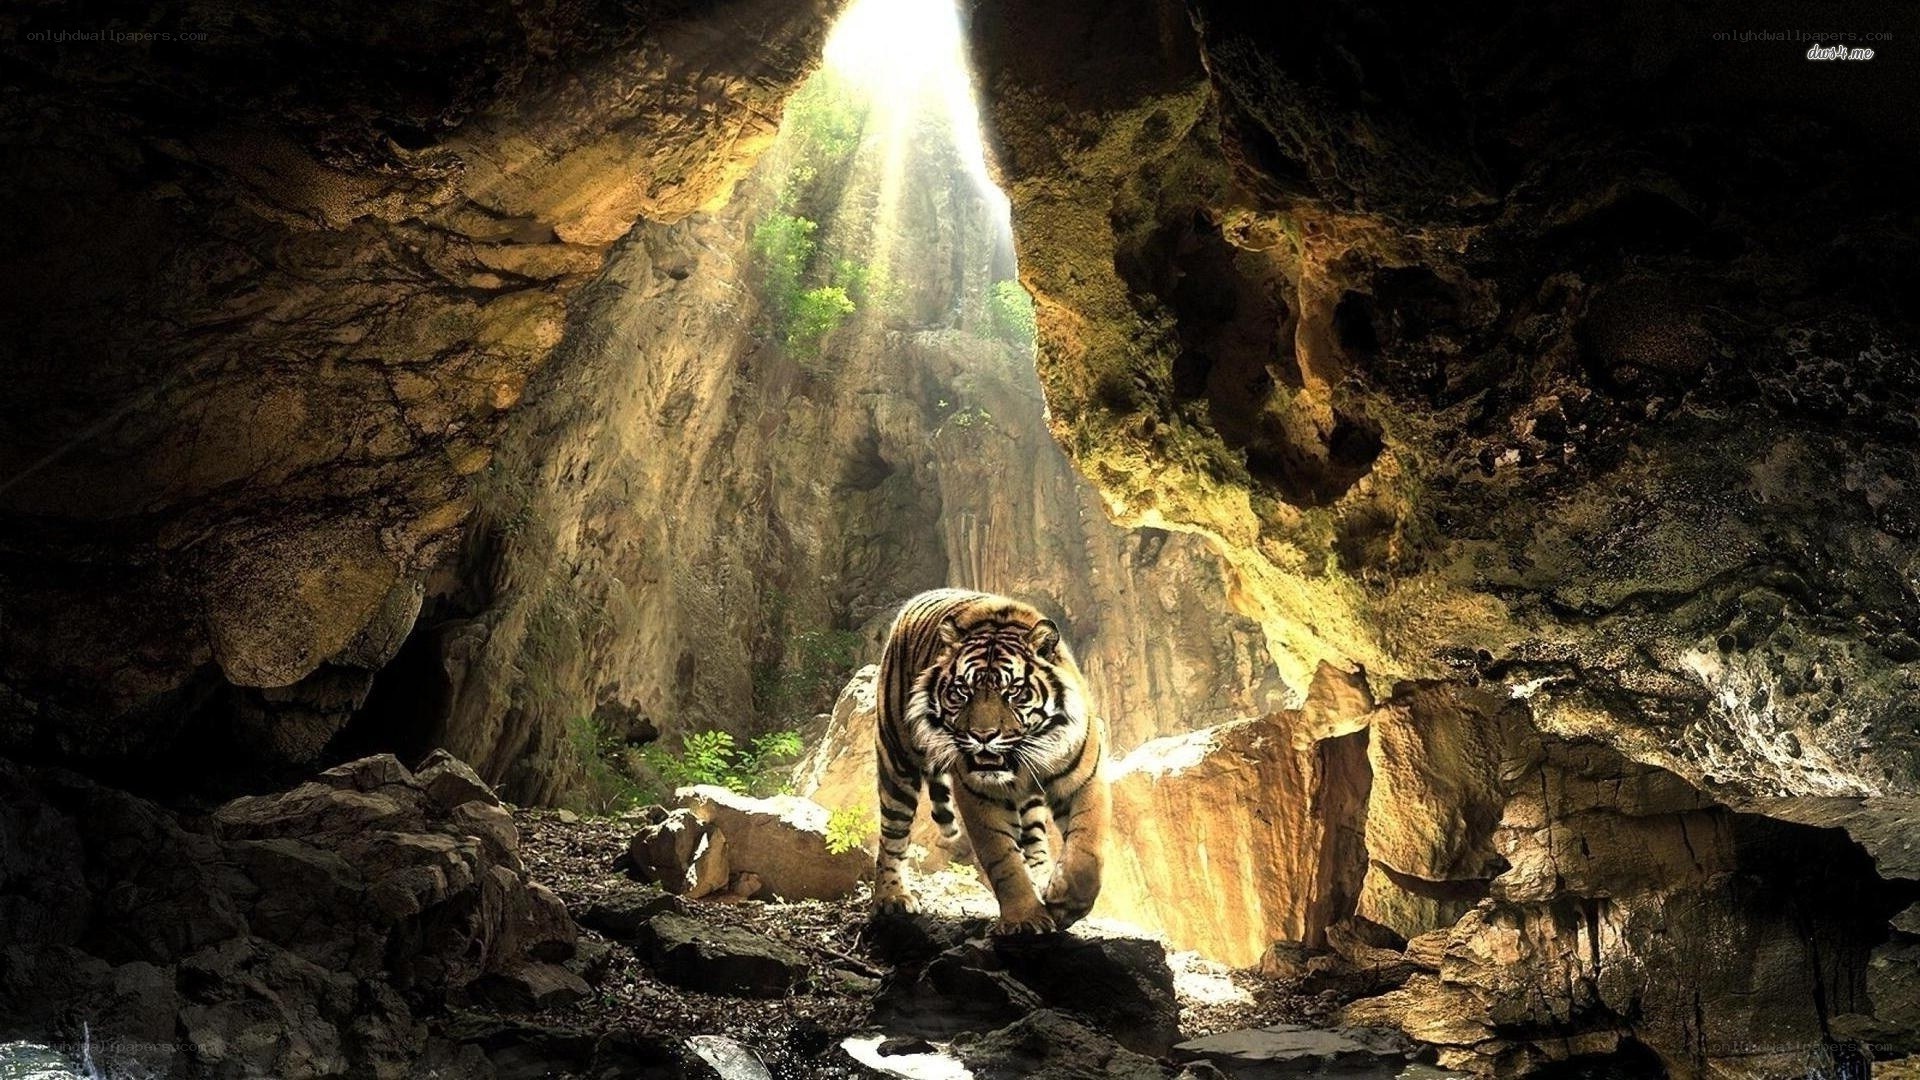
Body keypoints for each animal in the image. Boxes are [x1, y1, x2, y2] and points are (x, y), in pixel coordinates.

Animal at [870, 588, 1108, 934]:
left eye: (1014, 692)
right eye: (962, 691)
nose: (983, 735)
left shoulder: (1085, 779)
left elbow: (1087, 849)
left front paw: (1064, 903)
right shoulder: (980, 794)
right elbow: (1003, 859)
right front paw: (1025, 918)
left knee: (1034, 837)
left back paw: (1042, 876)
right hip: (896, 760)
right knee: (893, 834)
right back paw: (891, 897)